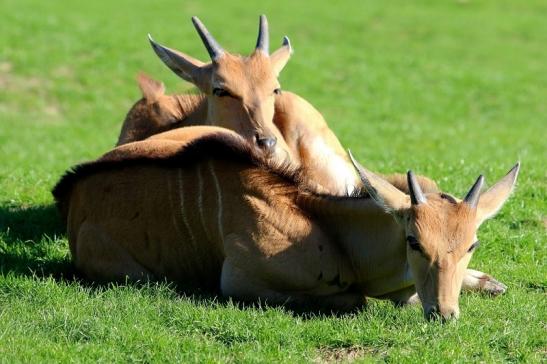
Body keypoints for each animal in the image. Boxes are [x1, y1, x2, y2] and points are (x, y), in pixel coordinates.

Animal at [53, 126, 520, 320]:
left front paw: (488, 283)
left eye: (471, 245)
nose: (444, 313)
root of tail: (72, 192)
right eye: (413, 241)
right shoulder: (240, 281)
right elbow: (358, 300)